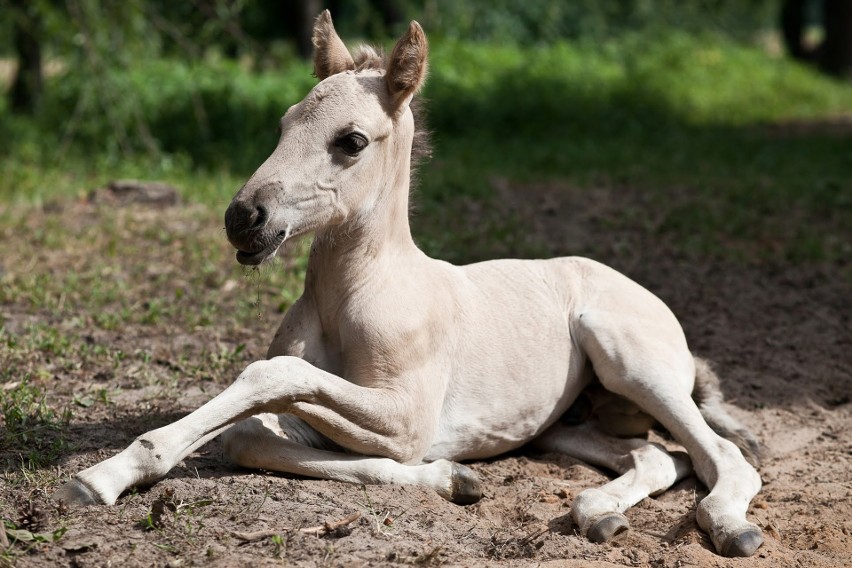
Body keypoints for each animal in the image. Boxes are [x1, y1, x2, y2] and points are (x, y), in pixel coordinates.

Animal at [60, 11, 764, 556]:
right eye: (284, 125)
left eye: (351, 140)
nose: (244, 219)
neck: (352, 300)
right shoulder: (339, 423)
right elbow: (248, 435)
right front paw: (454, 479)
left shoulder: (408, 417)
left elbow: (271, 378)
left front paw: (102, 475)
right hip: (565, 424)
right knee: (659, 458)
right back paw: (599, 513)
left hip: (630, 361)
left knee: (720, 458)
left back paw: (728, 527)